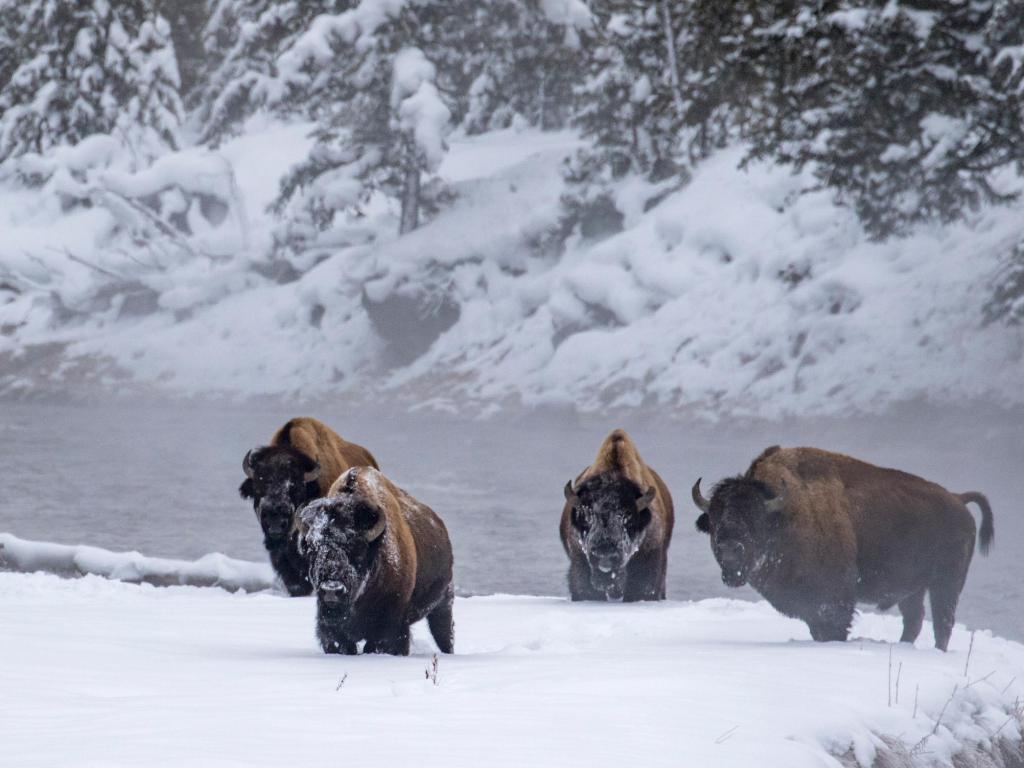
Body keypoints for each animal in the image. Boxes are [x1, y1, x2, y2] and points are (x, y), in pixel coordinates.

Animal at [299, 466, 454, 659]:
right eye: (312, 548)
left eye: (357, 548)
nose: (331, 590)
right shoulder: (332, 631)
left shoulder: (388, 629)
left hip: (443, 603)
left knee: (444, 635)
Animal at [692, 444, 995, 651]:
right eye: (715, 519)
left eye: (755, 519)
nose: (730, 549)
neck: (784, 515)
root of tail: (958, 499)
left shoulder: (833, 601)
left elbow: (833, 628)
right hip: (914, 588)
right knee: (915, 619)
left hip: (947, 582)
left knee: (943, 621)